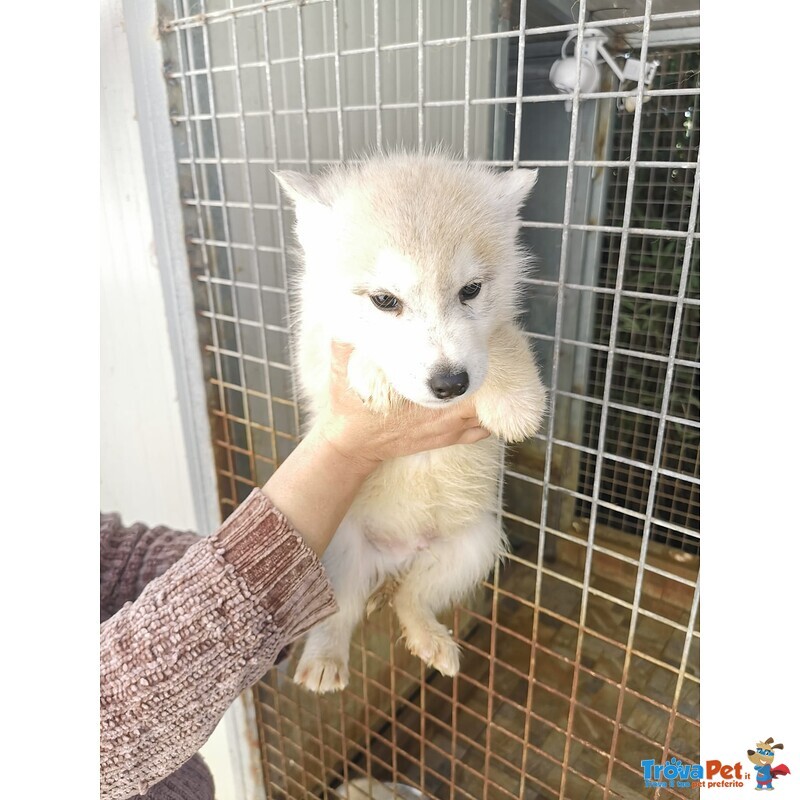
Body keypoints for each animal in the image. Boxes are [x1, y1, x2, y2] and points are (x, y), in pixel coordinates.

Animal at [278, 153, 548, 692]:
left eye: (470, 290)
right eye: (385, 300)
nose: (450, 384)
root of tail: (394, 558)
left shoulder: (501, 328)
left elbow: (504, 340)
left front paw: (516, 400)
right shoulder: (312, 354)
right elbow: (342, 344)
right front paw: (370, 370)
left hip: (473, 546)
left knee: (412, 599)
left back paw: (430, 640)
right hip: (334, 554)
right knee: (341, 614)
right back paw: (323, 662)